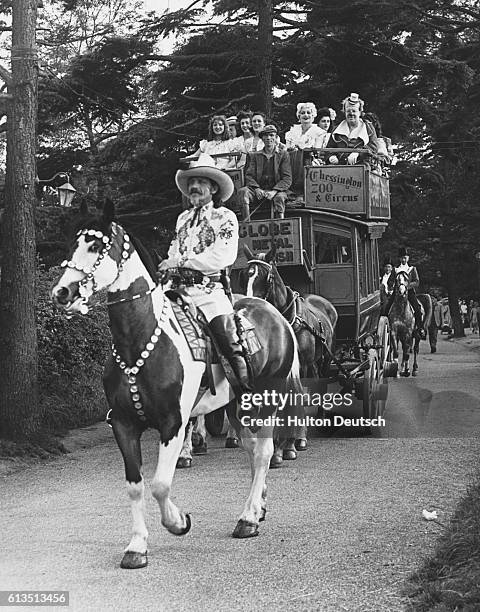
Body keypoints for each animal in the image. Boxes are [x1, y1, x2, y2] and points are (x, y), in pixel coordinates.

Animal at [51, 201, 300, 568]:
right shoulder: (124, 424)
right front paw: (137, 546)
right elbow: (135, 485)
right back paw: (259, 506)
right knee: (252, 452)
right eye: (72, 244)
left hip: (267, 398)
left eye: (96, 245)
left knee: (264, 452)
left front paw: (178, 522)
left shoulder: (172, 424)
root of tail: (276, 315)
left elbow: (159, 485)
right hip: (235, 406)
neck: (141, 342)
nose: (62, 292)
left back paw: (248, 518)